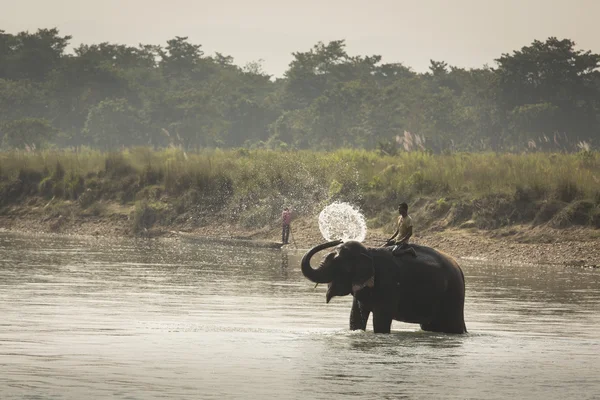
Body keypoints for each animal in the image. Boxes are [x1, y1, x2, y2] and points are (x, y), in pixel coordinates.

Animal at [302, 241, 466, 334]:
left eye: (337, 264)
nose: (337, 239)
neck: (369, 251)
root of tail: (460, 269)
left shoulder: (389, 282)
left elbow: (381, 320)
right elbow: (355, 316)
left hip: (453, 294)